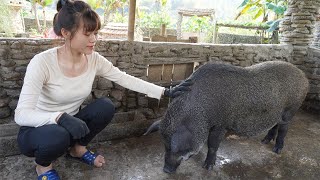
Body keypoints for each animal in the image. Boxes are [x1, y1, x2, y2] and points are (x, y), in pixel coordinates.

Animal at [146, 60, 310, 173]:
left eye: (175, 149)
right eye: (165, 145)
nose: (166, 170)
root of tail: (304, 77)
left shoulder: (221, 123)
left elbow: (213, 144)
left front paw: (207, 167)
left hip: (291, 108)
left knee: (284, 128)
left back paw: (276, 150)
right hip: (278, 112)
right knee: (275, 125)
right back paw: (264, 141)